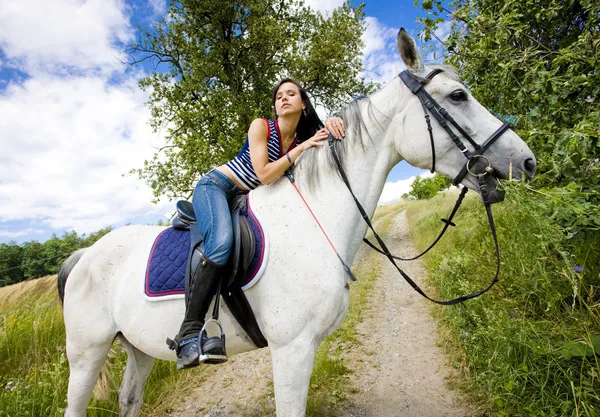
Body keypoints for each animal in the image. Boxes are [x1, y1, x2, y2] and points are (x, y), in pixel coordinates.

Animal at [57, 30, 536, 416]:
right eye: (458, 96)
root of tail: (84, 256)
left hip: (138, 348)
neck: (314, 221)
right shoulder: (292, 351)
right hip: (86, 354)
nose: (526, 161)